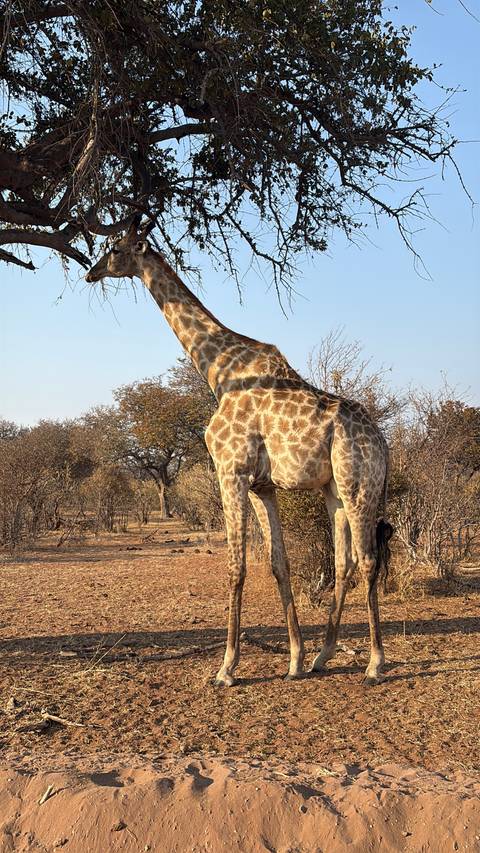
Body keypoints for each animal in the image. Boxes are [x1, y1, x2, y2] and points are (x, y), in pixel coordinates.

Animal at [86, 217, 393, 687]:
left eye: (115, 248)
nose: (91, 272)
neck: (219, 371)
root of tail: (383, 443)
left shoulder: (230, 471)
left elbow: (236, 567)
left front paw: (226, 668)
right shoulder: (261, 485)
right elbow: (279, 564)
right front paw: (295, 660)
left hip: (359, 485)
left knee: (368, 559)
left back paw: (375, 663)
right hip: (334, 491)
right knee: (343, 563)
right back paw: (324, 656)